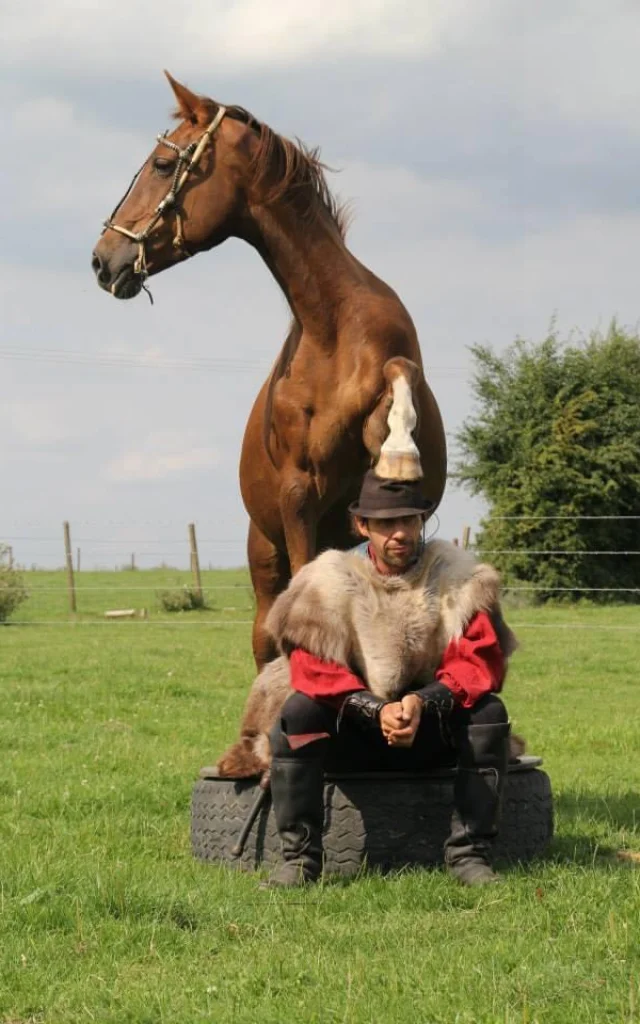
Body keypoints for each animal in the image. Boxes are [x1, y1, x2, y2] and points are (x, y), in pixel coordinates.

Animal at [92, 70, 446, 663]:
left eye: (163, 164)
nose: (102, 259)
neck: (333, 330)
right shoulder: (298, 496)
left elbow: (397, 386)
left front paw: (397, 449)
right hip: (266, 552)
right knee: (269, 639)